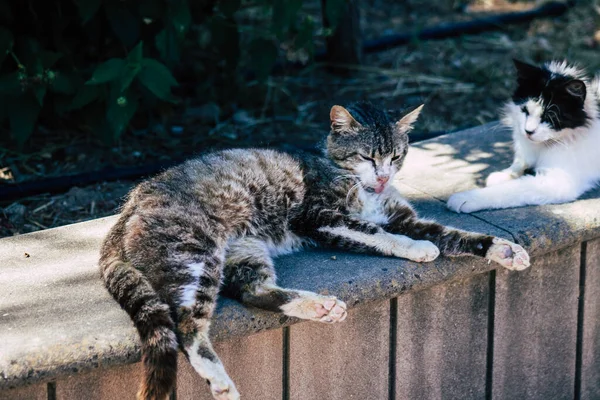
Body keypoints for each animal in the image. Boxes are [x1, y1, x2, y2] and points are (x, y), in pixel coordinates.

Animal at [98, 101, 528, 400]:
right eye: (367, 156)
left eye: (396, 156)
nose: (383, 176)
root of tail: (128, 206)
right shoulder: (317, 217)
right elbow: (374, 232)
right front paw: (417, 248)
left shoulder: (402, 215)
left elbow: (454, 234)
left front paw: (504, 250)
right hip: (193, 253)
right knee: (186, 326)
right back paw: (221, 383)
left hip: (242, 250)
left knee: (252, 291)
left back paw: (320, 307)